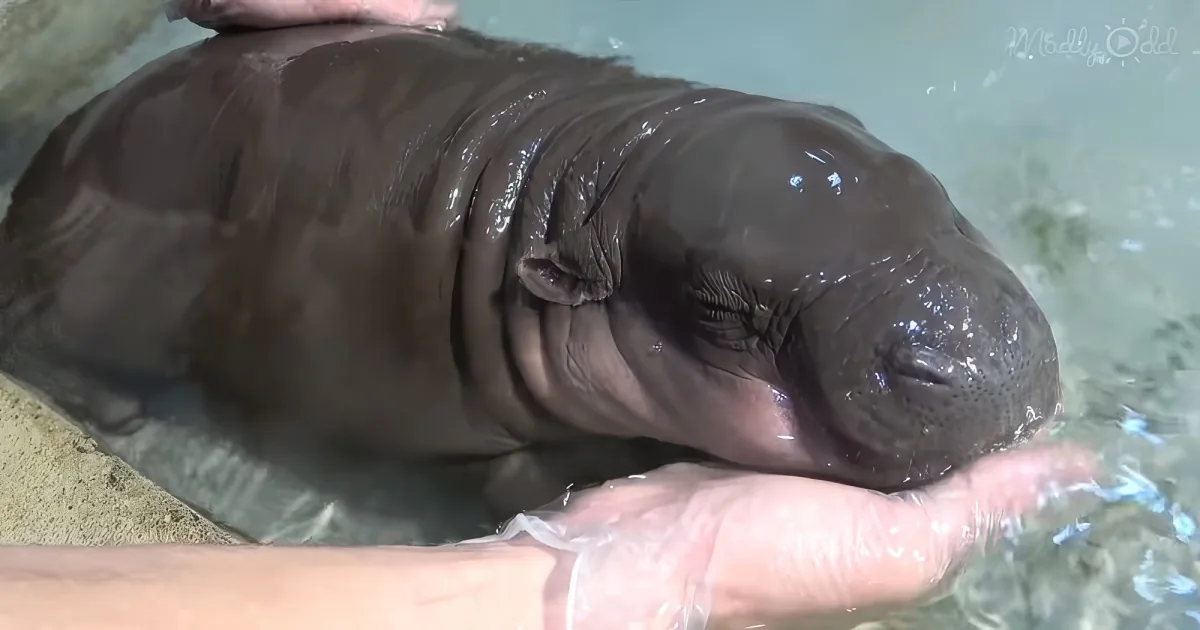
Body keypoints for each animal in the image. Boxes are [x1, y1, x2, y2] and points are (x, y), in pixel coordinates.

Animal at [0, 23, 1061, 519]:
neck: (598, 176)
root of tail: (45, 169)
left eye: (927, 186)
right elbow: (517, 482)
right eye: (718, 310)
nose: (979, 349)